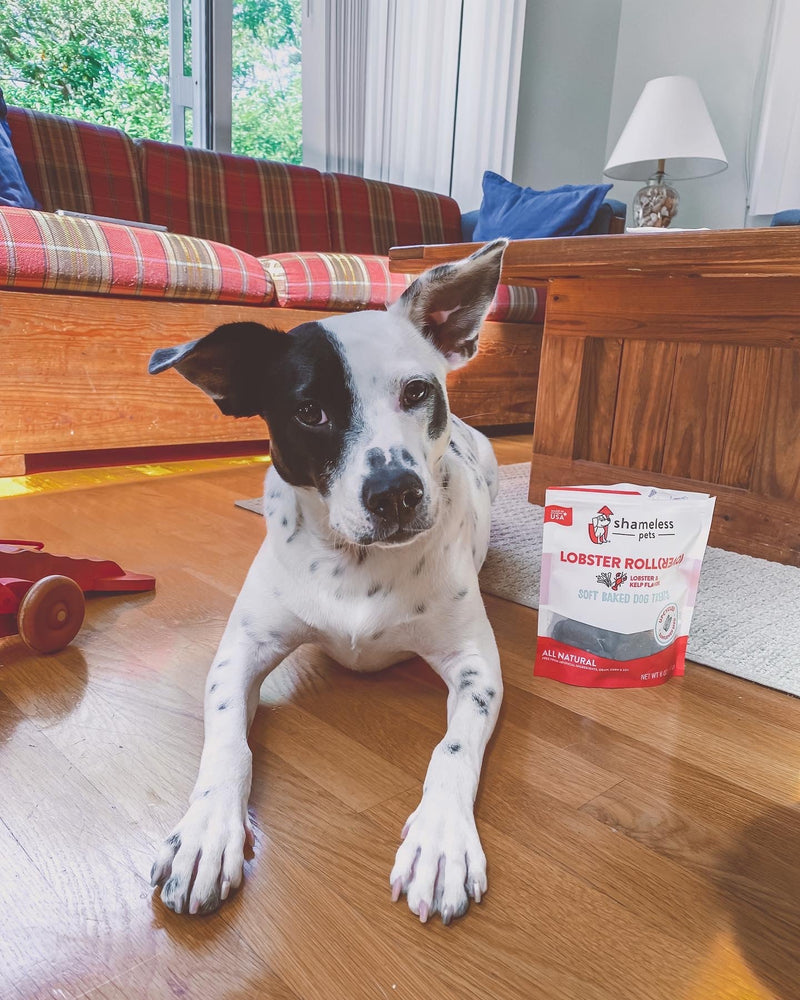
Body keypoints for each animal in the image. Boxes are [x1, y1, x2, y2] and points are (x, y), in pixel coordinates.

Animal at [148, 238, 506, 924]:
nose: (396, 492)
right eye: (309, 411)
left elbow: (452, 749)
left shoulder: (477, 668)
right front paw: (206, 831)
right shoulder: (240, 652)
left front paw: (441, 839)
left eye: (417, 392)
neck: (355, 560)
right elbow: (227, 741)